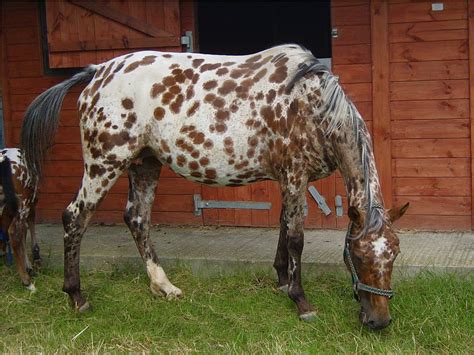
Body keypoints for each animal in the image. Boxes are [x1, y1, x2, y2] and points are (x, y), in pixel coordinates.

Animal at [0, 149, 40, 290]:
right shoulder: (31, 202)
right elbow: (27, 228)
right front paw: (32, 264)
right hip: (24, 202)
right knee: (14, 233)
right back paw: (27, 282)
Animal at [21, 45, 408, 330]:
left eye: (394, 254)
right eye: (359, 256)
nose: (379, 321)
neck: (310, 103)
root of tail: (97, 72)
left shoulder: (288, 180)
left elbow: (283, 229)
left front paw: (282, 281)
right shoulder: (294, 177)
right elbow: (296, 238)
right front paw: (301, 300)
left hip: (144, 163)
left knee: (137, 219)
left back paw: (163, 286)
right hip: (105, 164)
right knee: (75, 218)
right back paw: (77, 296)